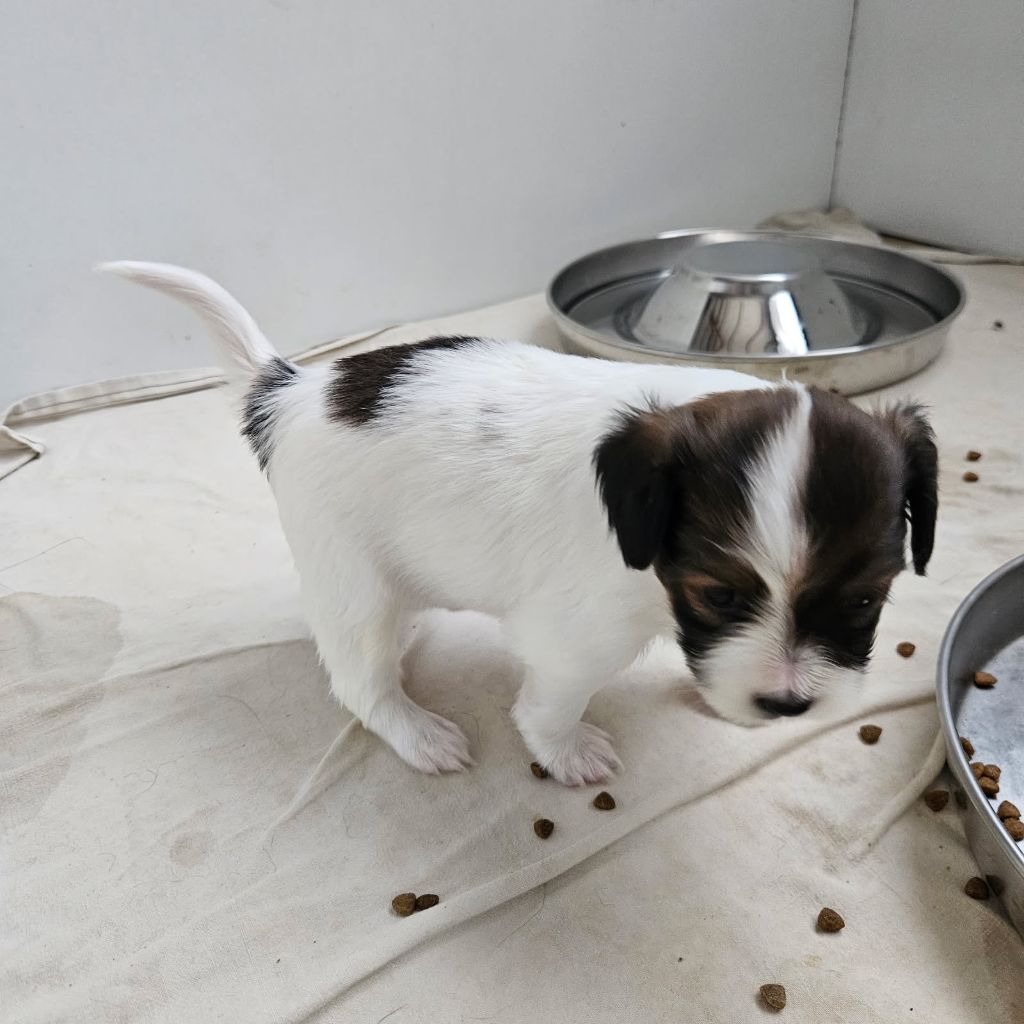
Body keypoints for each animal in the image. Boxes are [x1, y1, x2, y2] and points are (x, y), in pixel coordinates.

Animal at [101, 262, 938, 785]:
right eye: (720, 595)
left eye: (866, 599)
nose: (789, 705)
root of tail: (290, 389)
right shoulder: (575, 636)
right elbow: (553, 702)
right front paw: (564, 752)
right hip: (352, 586)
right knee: (359, 684)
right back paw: (417, 730)